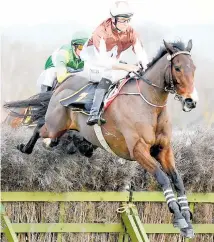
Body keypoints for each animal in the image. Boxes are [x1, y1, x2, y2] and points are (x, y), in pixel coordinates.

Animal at [3, 40, 198, 238]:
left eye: (194, 68)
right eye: (178, 68)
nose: (191, 101)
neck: (148, 105)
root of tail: (62, 84)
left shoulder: (163, 149)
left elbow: (177, 180)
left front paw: (187, 219)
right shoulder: (138, 150)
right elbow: (163, 178)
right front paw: (179, 218)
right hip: (54, 126)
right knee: (39, 127)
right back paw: (25, 147)